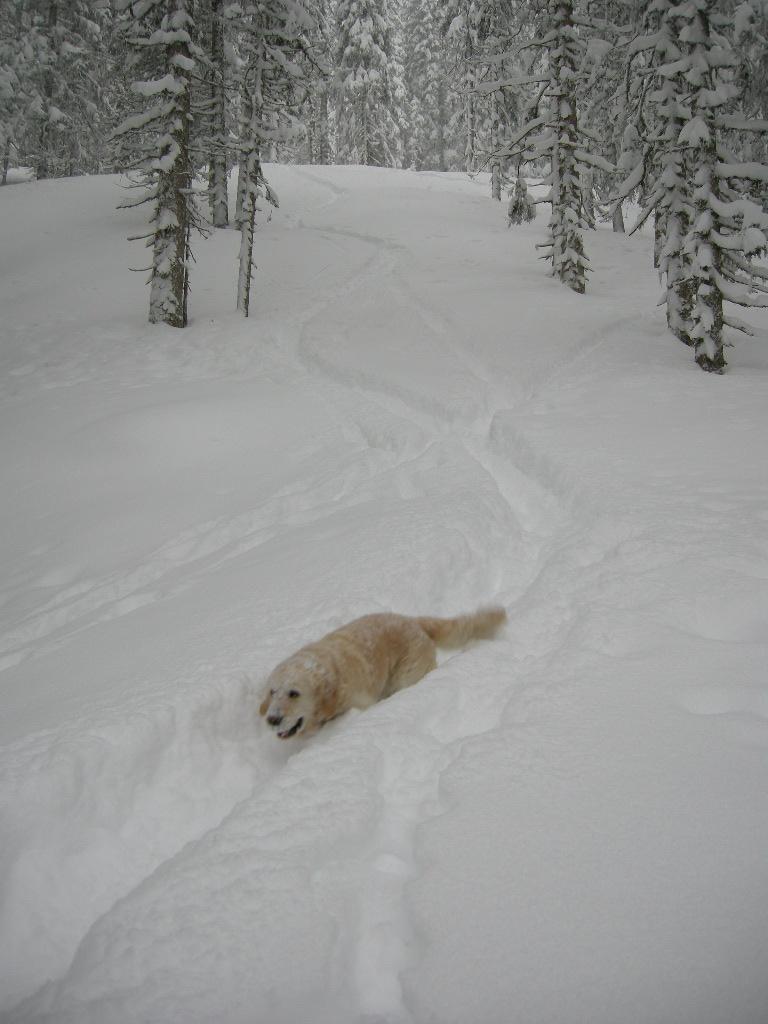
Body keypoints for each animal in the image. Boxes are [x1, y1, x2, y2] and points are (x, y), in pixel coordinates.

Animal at [259, 605, 507, 739]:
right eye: (272, 692)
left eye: (294, 693)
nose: (272, 719)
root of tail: (413, 621)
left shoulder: (360, 704)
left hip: (407, 676)